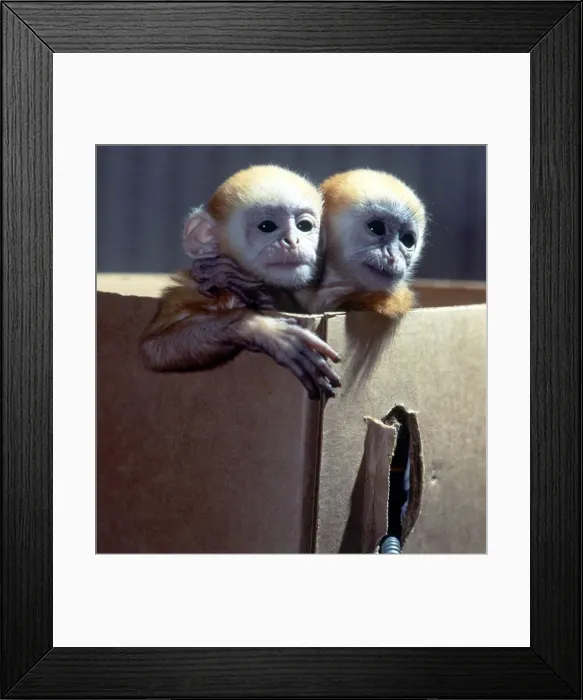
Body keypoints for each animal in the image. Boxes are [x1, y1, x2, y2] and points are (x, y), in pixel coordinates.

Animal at [139, 164, 342, 400]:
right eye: (267, 226)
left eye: (304, 226)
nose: (293, 241)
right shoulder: (196, 290)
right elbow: (153, 347)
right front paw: (263, 329)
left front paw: (257, 291)